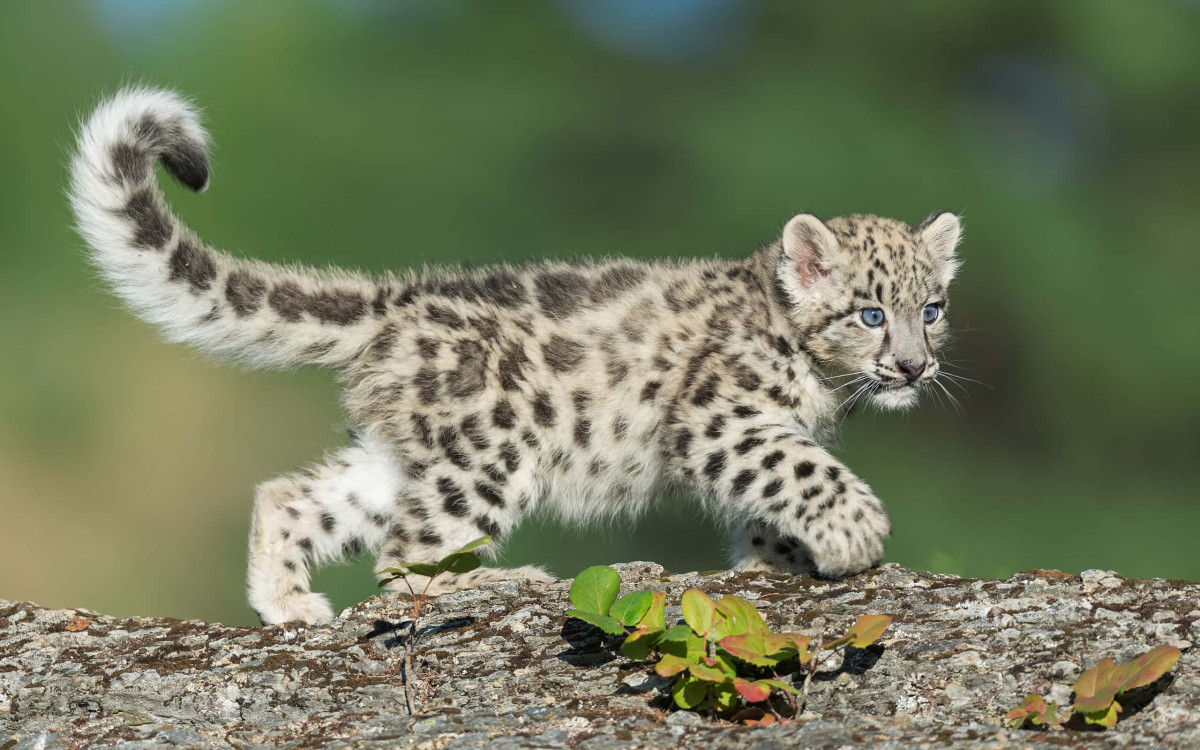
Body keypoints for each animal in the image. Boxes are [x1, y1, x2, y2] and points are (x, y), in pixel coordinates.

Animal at [69, 89, 963, 625]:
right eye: (871, 313)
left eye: (932, 309)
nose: (914, 367)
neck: (821, 385)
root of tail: (396, 300)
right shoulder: (723, 419)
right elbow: (800, 469)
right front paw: (856, 532)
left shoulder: (756, 432)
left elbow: (770, 500)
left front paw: (778, 562)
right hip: (489, 453)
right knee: (407, 560)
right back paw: (508, 580)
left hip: (406, 457)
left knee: (294, 498)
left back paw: (288, 605)